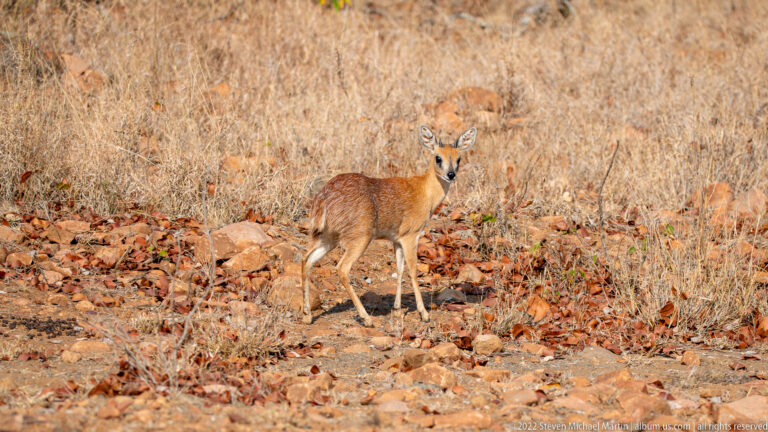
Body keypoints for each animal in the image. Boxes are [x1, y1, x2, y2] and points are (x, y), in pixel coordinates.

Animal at [301, 125, 477, 327]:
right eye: (438, 157)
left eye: (458, 158)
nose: (451, 175)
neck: (425, 192)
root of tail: (323, 200)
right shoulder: (411, 236)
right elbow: (413, 271)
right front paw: (424, 313)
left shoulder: (396, 240)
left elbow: (399, 270)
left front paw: (398, 310)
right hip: (359, 239)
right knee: (341, 269)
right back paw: (366, 318)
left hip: (327, 238)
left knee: (307, 259)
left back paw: (307, 315)